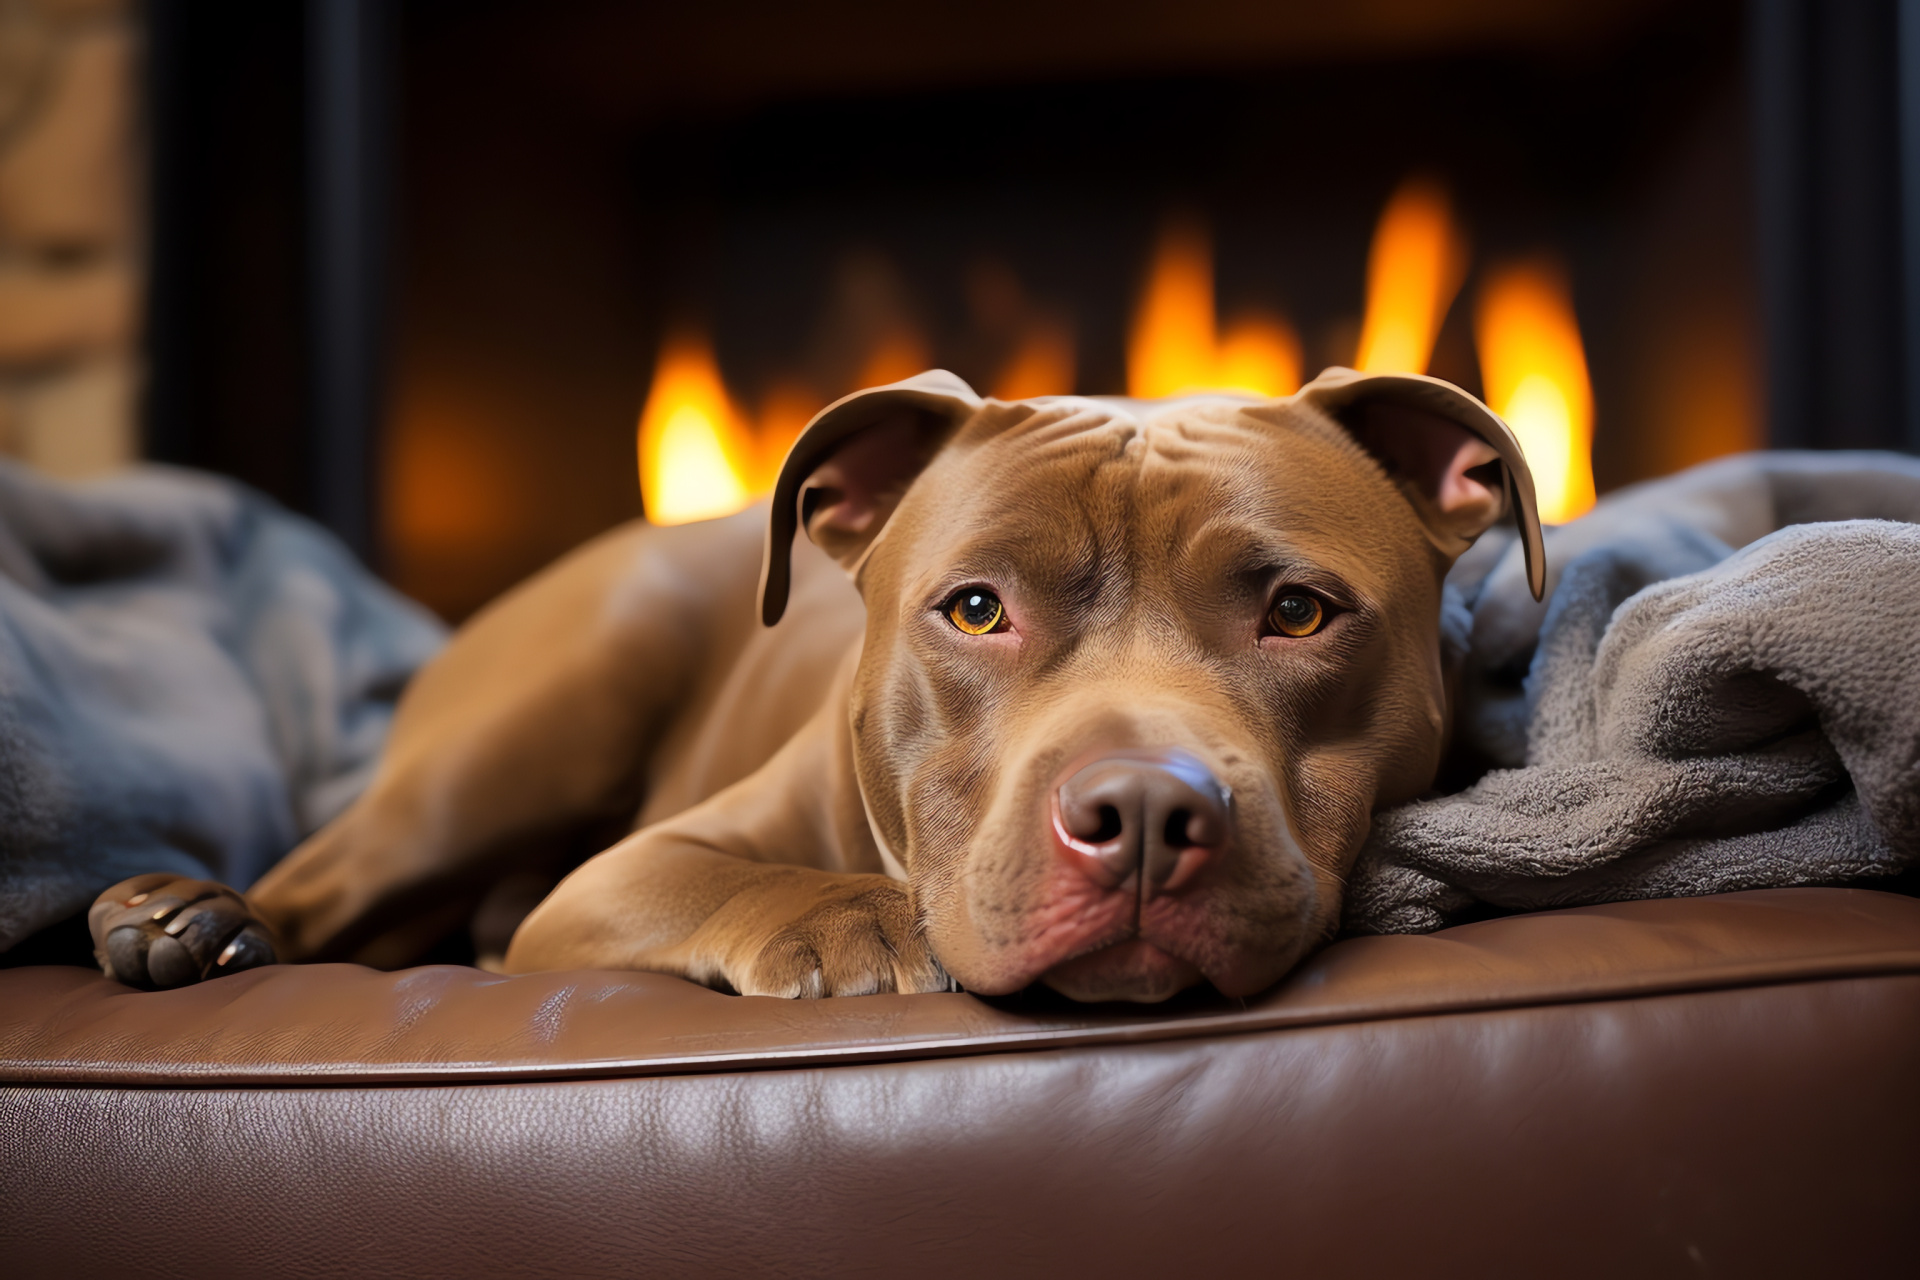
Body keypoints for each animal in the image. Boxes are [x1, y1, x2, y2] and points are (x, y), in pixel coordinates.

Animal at [97, 364, 1551, 1005]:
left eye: (1298, 612)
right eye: (976, 608)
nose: (1140, 814)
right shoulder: (615, 882)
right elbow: (739, 877)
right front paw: (856, 924)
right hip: (535, 723)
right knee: (327, 881)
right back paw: (187, 917)